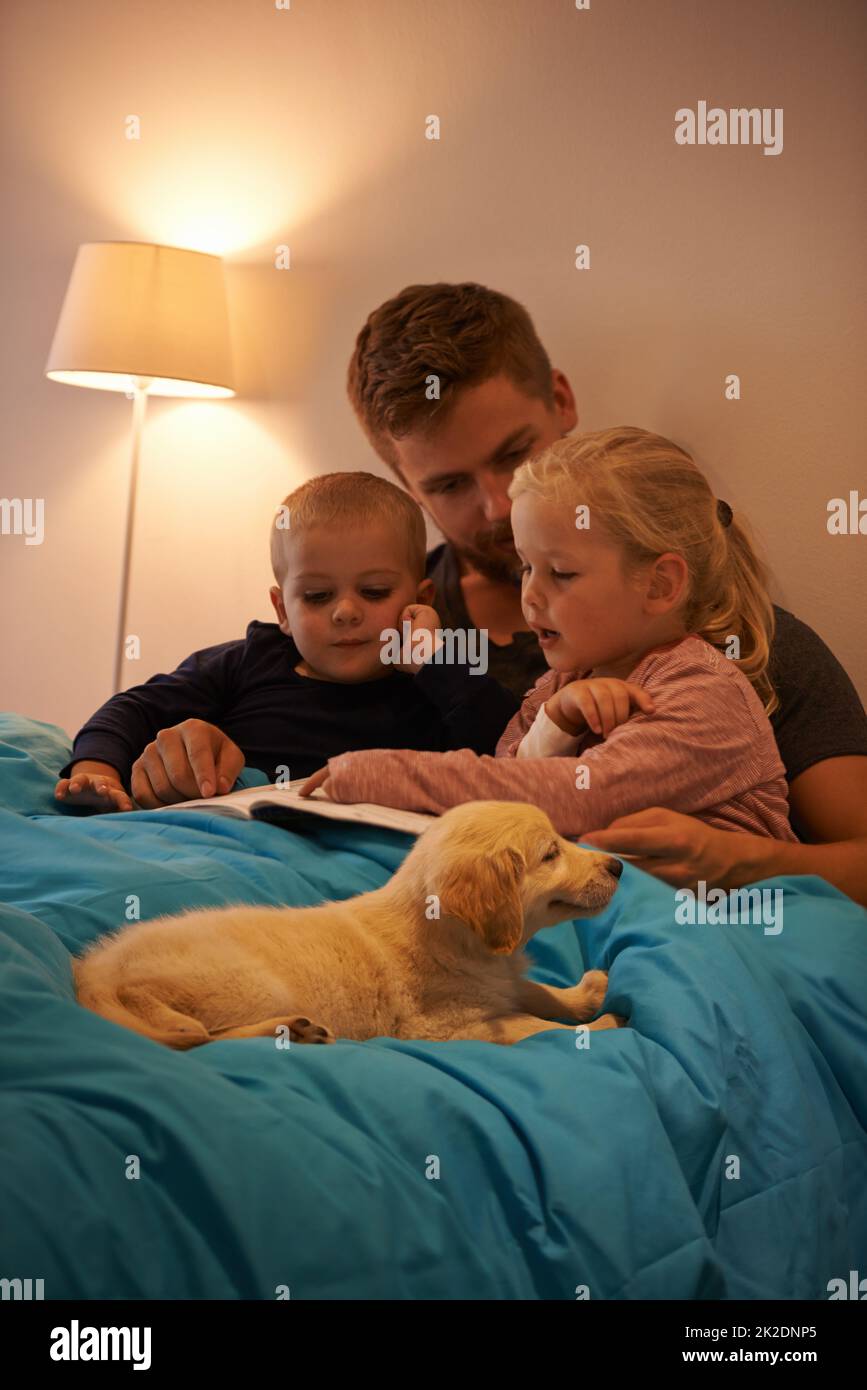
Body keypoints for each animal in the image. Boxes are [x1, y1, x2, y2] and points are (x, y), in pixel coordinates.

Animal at [74, 800, 625, 1045]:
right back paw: (288, 1029)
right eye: (551, 854)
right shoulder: (450, 1026)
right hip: (247, 985)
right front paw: (605, 1024)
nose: (618, 866)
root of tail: (95, 972)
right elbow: (533, 1028)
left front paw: (586, 993)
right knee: (202, 1035)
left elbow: (534, 993)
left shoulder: (500, 981)